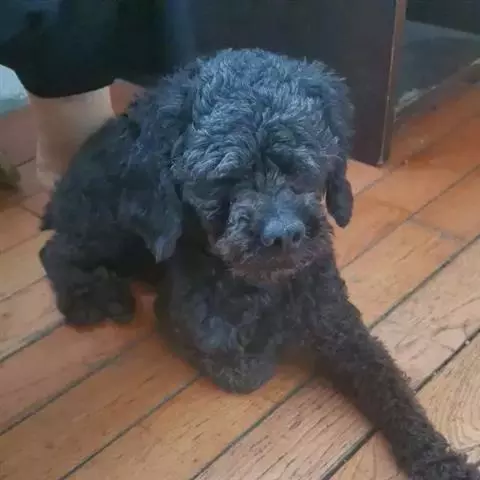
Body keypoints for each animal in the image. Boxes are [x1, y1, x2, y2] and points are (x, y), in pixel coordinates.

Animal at [40, 49, 479, 479]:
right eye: (223, 177)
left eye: (302, 165)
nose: (283, 234)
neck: (264, 286)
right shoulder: (182, 319)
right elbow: (242, 368)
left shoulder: (340, 326)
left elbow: (391, 386)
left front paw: (439, 460)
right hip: (111, 225)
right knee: (54, 250)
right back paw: (91, 295)